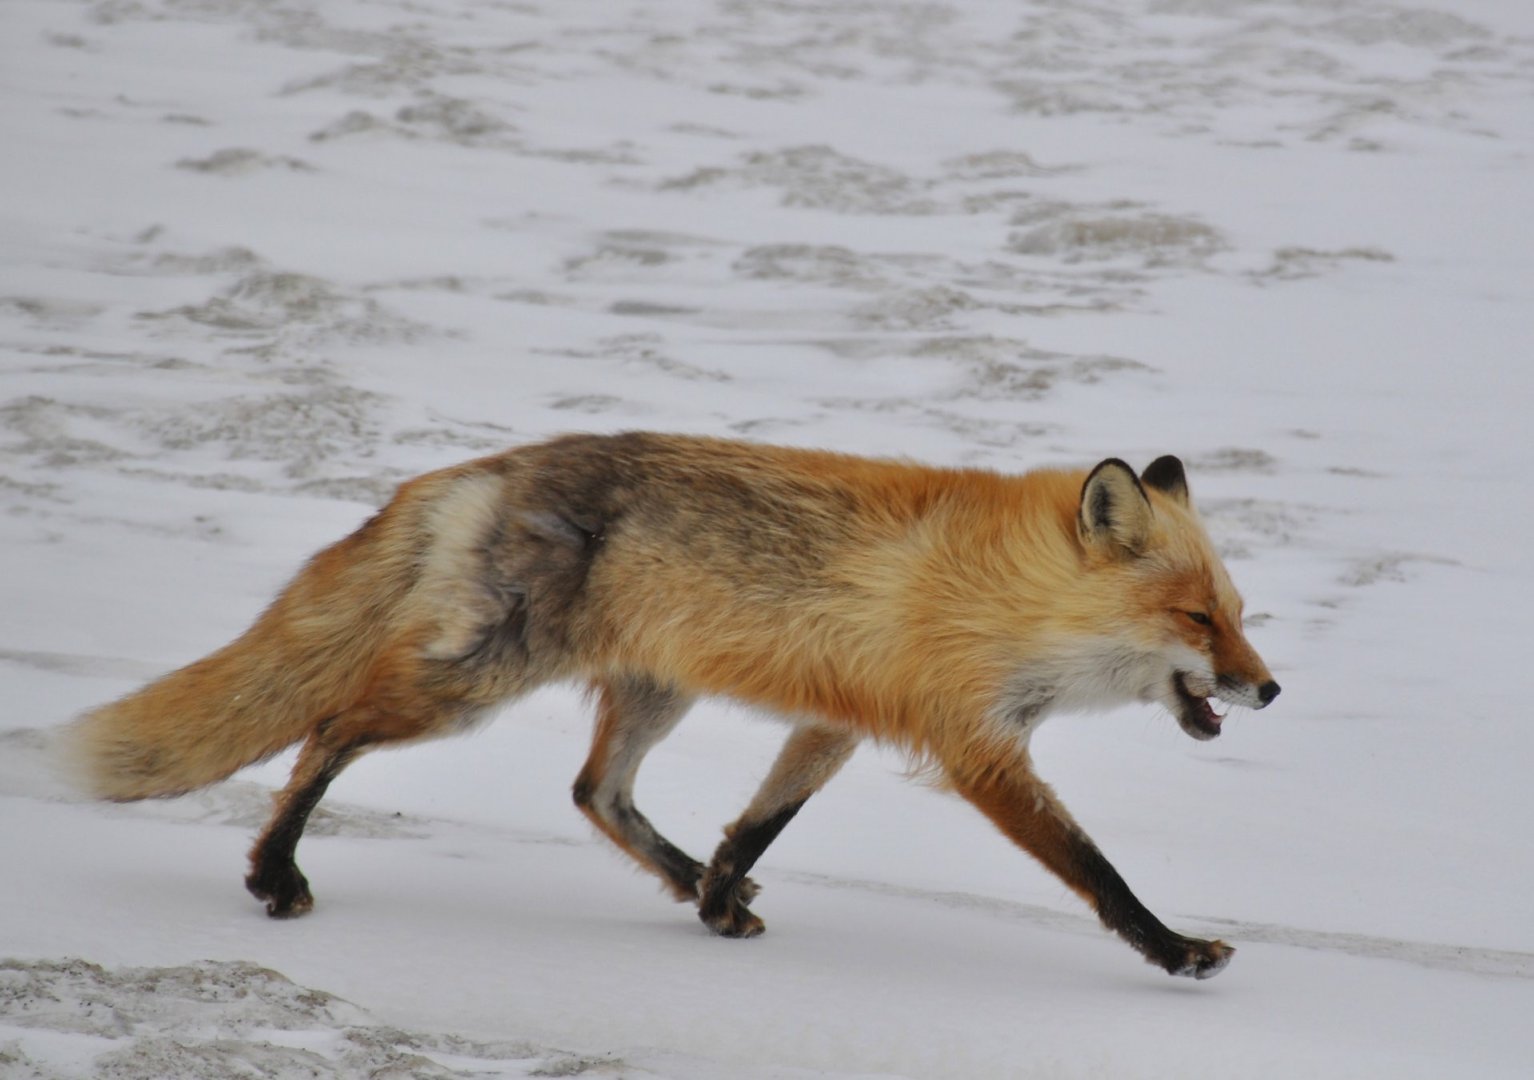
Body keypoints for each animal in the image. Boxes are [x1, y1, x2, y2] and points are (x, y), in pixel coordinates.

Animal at [63, 432, 1278, 979]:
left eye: (1238, 614)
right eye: (1197, 621)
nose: (1269, 688)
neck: (1002, 598)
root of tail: (475, 469)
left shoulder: (838, 722)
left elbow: (760, 824)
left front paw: (720, 895)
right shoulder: (974, 748)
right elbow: (1097, 870)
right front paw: (1174, 951)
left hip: (651, 692)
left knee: (594, 793)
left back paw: (694, 885)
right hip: (473, 683)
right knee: (330, 730)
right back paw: (274, 874)